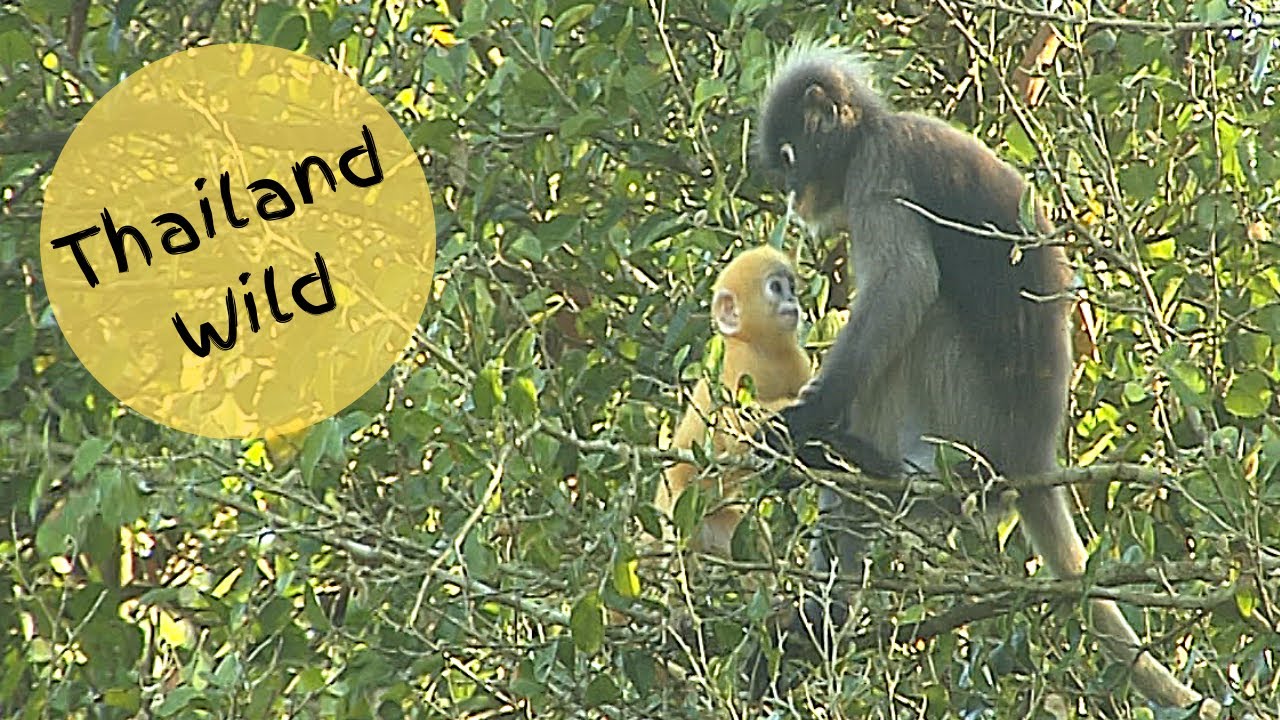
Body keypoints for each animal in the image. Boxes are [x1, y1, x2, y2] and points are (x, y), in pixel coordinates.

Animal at [656, 245, 811, 559]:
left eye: (790, 288)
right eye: (776, 288)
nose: (792, 299)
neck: (762, 348)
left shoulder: (796, 359)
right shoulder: (736, 365)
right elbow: (740, 438)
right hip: (676, 514)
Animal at [751, 43, 1220, 717]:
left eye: (790, 157)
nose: (793, 198)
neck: (873, 128)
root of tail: (1032, 454)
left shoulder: (881, 171)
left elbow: (905, 285)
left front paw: (802, 423)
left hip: (969, 416)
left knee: (926, 314)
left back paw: (863, 465)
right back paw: (819, 620)